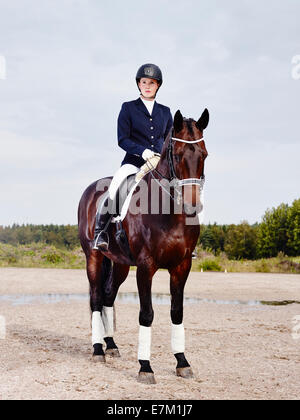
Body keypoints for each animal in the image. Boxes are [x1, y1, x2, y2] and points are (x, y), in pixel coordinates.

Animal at [77, 107, 209, 384]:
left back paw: (111, 345)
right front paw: (145, 367)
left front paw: (182, 362)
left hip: (119, 264)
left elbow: (177, 311)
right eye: (178, 155)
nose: (192, 205)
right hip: (93, 257)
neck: (169, 213)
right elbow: (146, 314)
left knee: (108, 295)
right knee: (96, 298)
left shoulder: (181, 266)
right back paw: (98, 350)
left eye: (204, 155)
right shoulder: (146, 266)